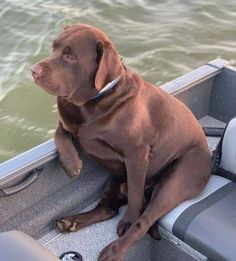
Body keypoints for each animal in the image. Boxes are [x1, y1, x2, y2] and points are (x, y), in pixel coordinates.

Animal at [30, 24, 210, 260]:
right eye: (54, 48)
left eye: (70, 56)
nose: (34, 70)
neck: (90, 104)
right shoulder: (68, 121)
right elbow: (60, 133)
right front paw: (71, 163)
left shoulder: (137, 154)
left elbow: (134, 197)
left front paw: (129, 221)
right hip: (114, 177)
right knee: (108, 208)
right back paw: (72, 221)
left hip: (174, 181)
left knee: (144, 217)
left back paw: (114, 250)